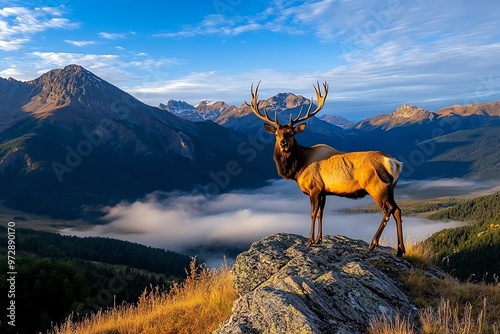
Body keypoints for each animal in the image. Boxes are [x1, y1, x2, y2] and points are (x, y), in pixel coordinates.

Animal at [246, 81, 406, 256]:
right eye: (276, 134)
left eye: (291, 134)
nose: (284, 143)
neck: (299, 167)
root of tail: (394, 162)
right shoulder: (323, 191)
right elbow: (321, 214)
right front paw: (319, 239)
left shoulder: (314, 188)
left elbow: (312, 214)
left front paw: (309, 241)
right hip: (390, 189)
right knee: (397, 210)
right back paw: (400, 250)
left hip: (377, 187)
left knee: (388, 211)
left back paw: (373, 244)